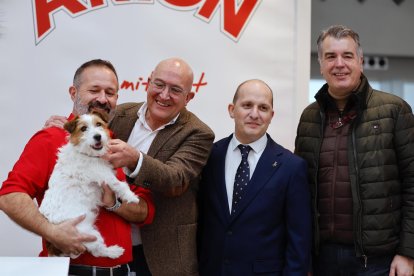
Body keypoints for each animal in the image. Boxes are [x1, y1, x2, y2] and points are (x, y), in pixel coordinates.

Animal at [37, 109, 137, 258]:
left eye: (99, 124)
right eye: (83, 128)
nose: (98, 136)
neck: (86, 154)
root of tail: (53, 246)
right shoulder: (103, 175)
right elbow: (120, 185)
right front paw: (132, 197)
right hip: (86, 233)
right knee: (97, 250)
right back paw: (114, 251)